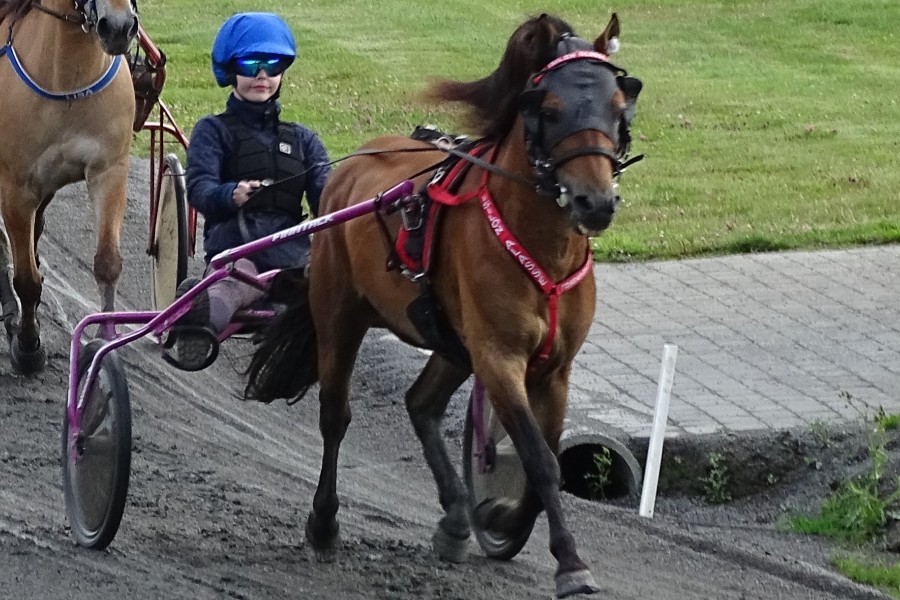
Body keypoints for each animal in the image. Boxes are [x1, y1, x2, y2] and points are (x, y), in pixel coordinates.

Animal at [0, 0, 138, 373]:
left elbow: (107, 262)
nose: (118, 27)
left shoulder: (109, 170)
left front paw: (107, 342)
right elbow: (27, 280)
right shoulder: (15, 188)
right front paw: (27, 345)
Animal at [246, 13, 642, 598]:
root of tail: (352, 164)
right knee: (335, 416)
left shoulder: (555, 369)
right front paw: (569, 562)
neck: (543, 247)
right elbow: (540, 460)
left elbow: (545, 459)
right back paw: (324, 522)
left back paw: (456, 517)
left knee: (421, 404)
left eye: (619, 105)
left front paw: (498, 517)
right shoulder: (499, 357)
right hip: (340, 314)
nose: (595, 202)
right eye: (549, 109)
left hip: (451, 342)